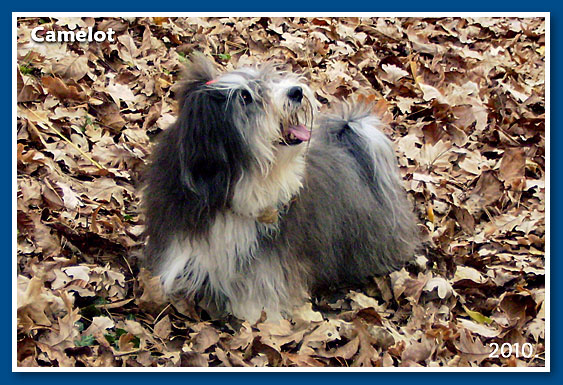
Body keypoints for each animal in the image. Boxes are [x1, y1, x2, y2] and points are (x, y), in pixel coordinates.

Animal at [143, 54, 420, 320]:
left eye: (269, 79)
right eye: (245, 96)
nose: (296, 91)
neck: (232, 186)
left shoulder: (271, 255)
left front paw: (255, 314)